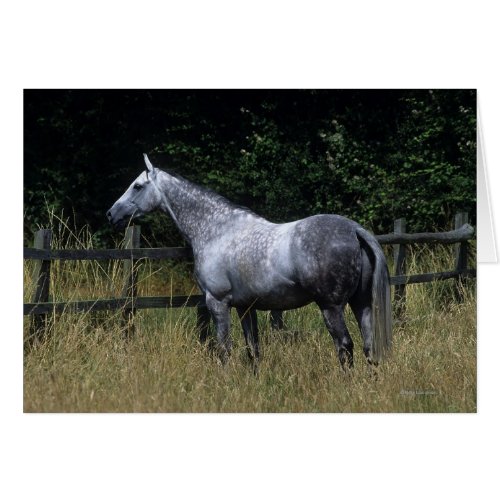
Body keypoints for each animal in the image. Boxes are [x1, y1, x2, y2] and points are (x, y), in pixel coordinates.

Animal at [107, 154, 392, 370]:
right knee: (368, 347)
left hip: (331, 307)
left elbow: (224, 349)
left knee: (345, 347)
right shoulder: (246, 307)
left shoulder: (218, 302)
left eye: (137, 186)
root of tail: (354, 230)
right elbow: (253, 350)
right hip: (361, 304)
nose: (111, 214)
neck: (217, 230)